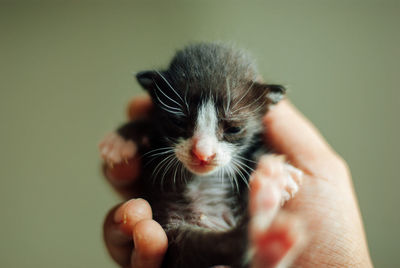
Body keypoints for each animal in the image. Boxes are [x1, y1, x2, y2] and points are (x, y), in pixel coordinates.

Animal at [101, 43, 302, 266]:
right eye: (178, 122)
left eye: (234, 128)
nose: (202, 154)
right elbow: (148, 123)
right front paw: (121, 139)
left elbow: (256, 150)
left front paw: (283, 173)